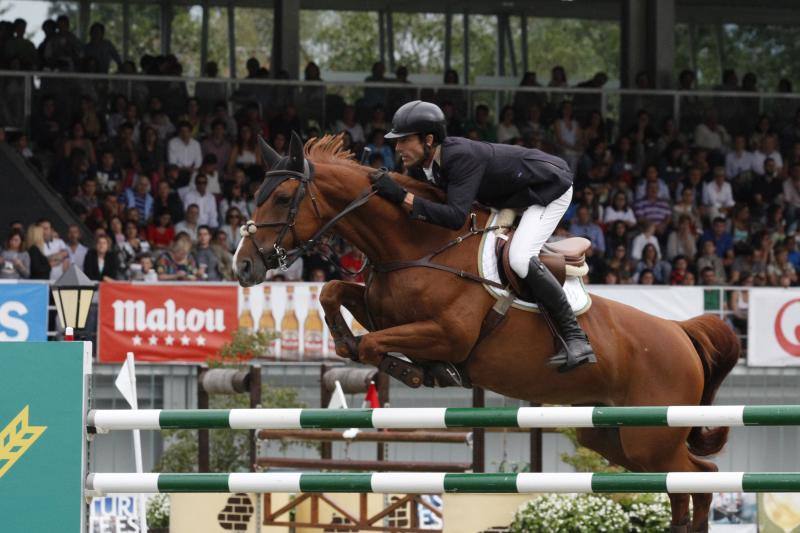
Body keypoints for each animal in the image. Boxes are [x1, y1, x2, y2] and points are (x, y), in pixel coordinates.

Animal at [236, 134, 736, 532]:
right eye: (256, 194)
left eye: (282, 198)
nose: (243, 266)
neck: (420, 245)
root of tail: (680, 333)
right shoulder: (383, 309)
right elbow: (332, 292)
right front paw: (346, 340)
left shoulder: (445, 334)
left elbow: (375, 344)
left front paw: (416, 370)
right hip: (612, 435)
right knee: (694, 478)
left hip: (650, 437)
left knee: (699, 477)